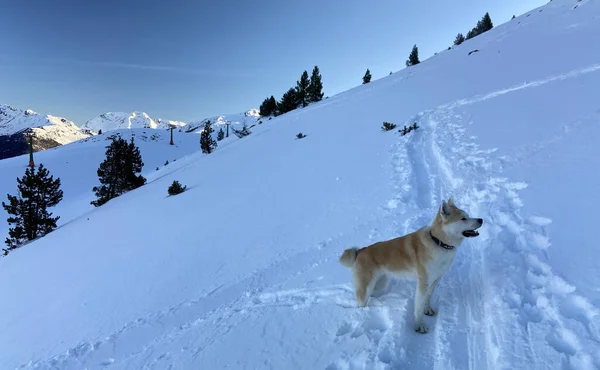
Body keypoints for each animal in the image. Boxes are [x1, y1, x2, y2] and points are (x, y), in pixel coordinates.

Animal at [338, 198, 482, 334]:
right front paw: (419, 326)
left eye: (468, 215)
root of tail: (360, 251)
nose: (481, 219)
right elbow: (418, 307)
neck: (438, 242)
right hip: (366, 287)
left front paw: (427, 309)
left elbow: (428, 297)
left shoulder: (435, 279)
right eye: (463, 218)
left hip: (380, 283)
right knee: (360, 302)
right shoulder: (423, 283)